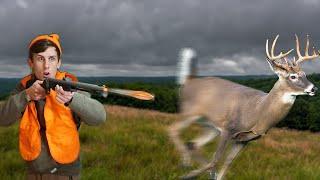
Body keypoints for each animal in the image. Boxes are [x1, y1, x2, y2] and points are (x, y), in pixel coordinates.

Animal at [169, 34, 318, 179]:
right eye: (293, 76)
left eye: (305, 74)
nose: (314, 88)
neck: (259, 112)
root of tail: (189, 81)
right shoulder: (228, 129)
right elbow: (215, 160)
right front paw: (189, 174)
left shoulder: (244, 140)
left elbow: (227, 163)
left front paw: (210, 174)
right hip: (190, 111)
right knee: (173, 129)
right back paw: (186, 165)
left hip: (210, 127)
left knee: (192, 144)